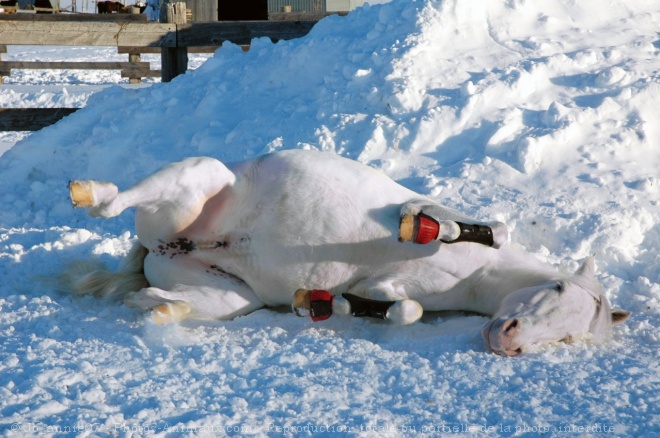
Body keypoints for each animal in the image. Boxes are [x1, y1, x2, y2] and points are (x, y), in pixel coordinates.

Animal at [65, 151, 628, 356]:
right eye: (556, 286)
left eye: (571, 335)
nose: (507, 338)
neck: (474, 275)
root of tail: (160, 244)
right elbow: (485, 229)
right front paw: (422, 227)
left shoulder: (395, 291)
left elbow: (403, 309)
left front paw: (323, 304)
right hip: (197, 180)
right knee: (115, 203)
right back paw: (88, 192)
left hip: (229, 297)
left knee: (157, 298)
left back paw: (163, 310)